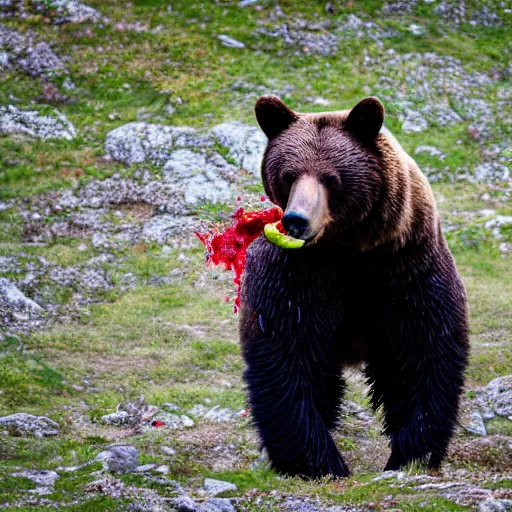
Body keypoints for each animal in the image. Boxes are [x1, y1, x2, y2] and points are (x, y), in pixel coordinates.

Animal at [238, 94, 470, 478]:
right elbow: (286, 352)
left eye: (331, 178)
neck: (349, 248)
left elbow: (423, 350)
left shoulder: (405, 267)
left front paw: (412, 452)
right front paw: (316, 460)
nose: (296, 220)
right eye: (288, 175)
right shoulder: (297, 274)